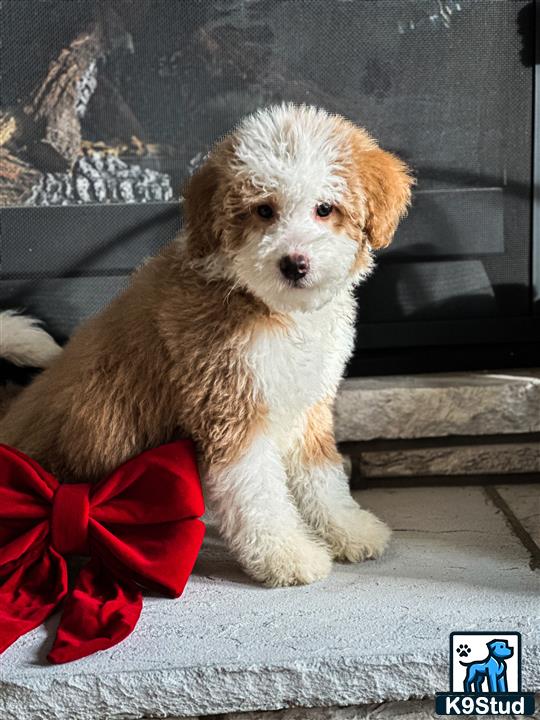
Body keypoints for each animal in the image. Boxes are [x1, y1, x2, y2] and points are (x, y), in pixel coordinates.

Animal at [1, 104, 414, 588]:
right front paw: (287, 554)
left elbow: (322, 476)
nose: (294, 263)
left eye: (325, 209)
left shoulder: (307, 408)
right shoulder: (230, 408)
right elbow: (258, 495)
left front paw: (348, 529)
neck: (268, 306)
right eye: (263, 210)